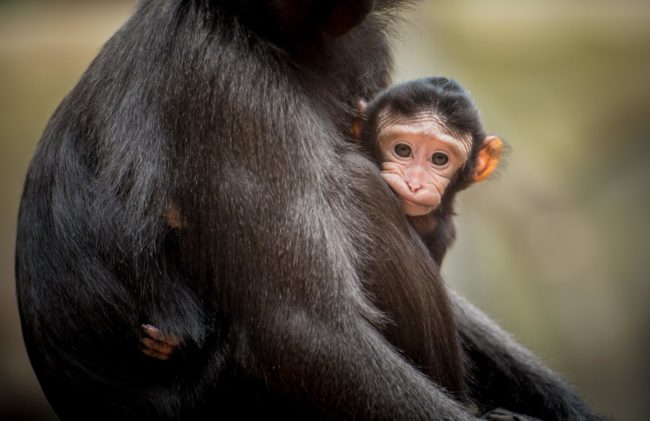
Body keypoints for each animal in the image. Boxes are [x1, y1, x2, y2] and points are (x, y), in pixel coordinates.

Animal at [16, 0, 596, 420]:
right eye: (403, 149)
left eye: (438, 158)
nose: (413, 179)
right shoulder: (228, 77)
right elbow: (303, 332)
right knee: (357, 189)